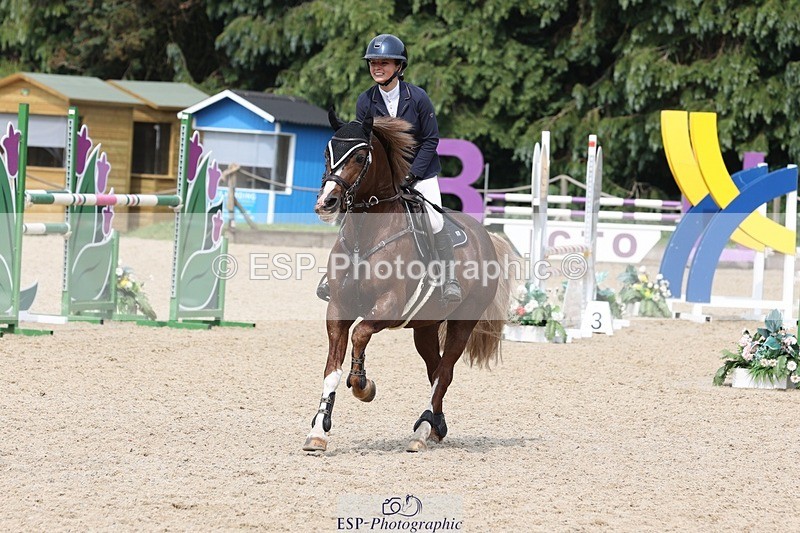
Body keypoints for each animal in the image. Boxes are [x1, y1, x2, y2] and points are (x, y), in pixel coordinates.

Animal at [305, 110, 518, 452]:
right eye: (328, 153)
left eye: (361, 156)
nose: (327, 203)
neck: (365, 234)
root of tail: (485, 235)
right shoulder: (338, 308)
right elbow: (331, 369)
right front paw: (318, 431)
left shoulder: (388, 307)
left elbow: (360, 335)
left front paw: (363, 385)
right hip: (426, 327)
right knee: (435, 369)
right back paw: (436, 426)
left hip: (462, 322)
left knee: (444, 373)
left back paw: (422, 431)